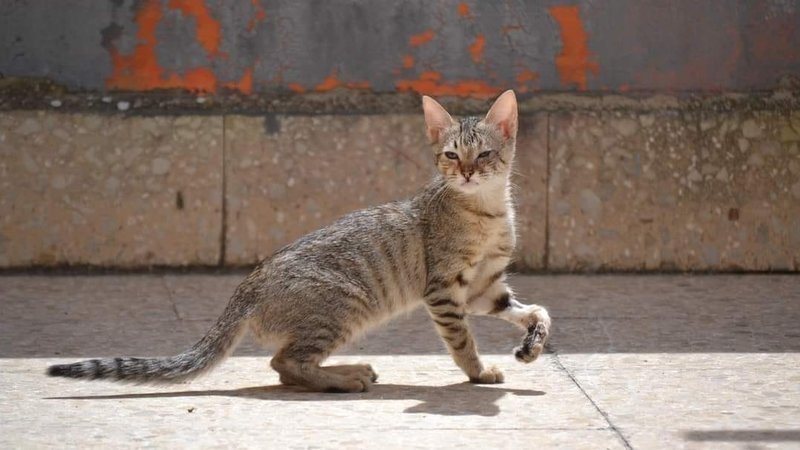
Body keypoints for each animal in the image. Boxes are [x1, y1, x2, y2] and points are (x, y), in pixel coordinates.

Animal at [47, 90, 551, 393]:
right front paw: (478, 372)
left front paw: (533, 341)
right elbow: (461, 340)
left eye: (483, 155)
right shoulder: (445, 288)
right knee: (284, 363)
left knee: (285, 368)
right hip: (345, 306)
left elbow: (536, 310)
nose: (465, 172)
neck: (487, 210)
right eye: (450, 155)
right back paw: (344, 378)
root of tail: (247, 286)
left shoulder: (484, 286)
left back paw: (344, 372)